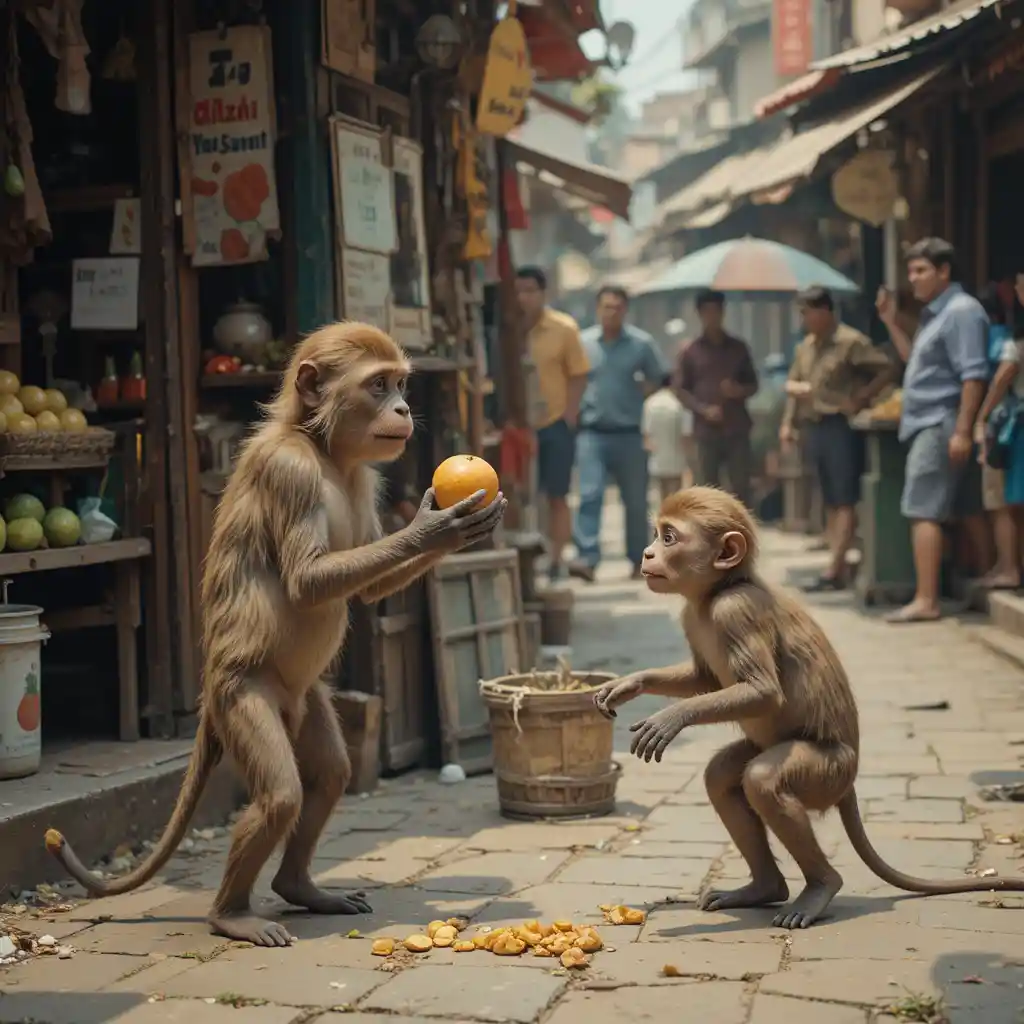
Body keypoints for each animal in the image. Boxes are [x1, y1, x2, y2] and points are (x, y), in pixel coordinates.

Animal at [45, 322, 507, 947]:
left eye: (401, 385)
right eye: (379, 385)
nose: (405, 409)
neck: (322, 449)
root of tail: (211, 692)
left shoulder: (367, 475)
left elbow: (364, 593)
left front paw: (451, 536)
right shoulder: (290, 473)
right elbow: (308, 580)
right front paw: (435, 527)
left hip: (304, 699)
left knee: (329, 775)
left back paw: (299, 887)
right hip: (241, 696)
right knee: (281, 794)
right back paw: (231, 915)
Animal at [594, 486, 1024, 930]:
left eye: (669, 538)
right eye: (658, 536)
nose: (647, 554)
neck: (718, 589)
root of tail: (849, 779)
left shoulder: (735, 610)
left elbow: (764, 692)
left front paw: (670, 718)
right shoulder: (692, 616)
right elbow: (705, 681)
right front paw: (629, 684)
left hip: (828, 773)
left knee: (764, 779)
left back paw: (820, 886)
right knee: (723, 777)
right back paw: (764, 888)